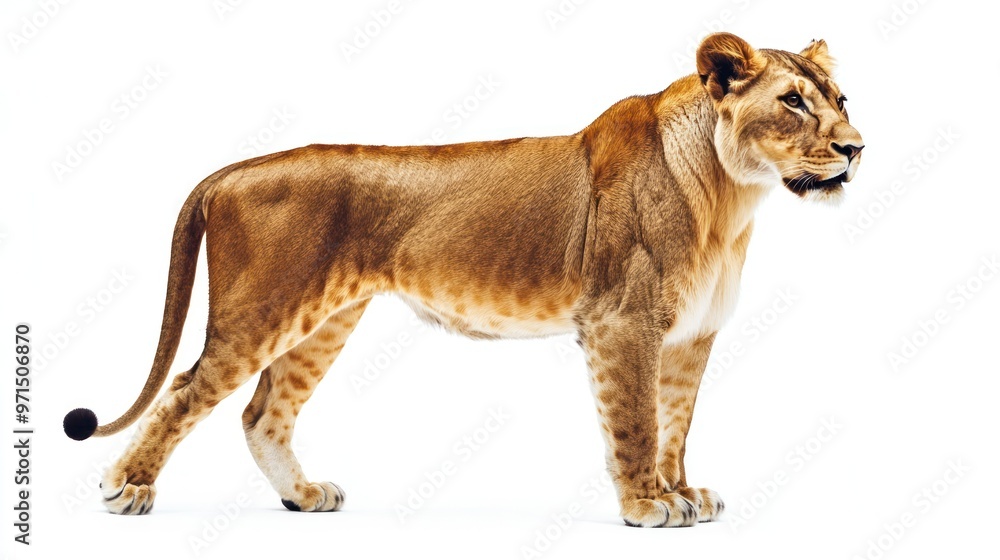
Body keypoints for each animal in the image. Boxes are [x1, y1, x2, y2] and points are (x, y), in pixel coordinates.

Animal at [63, 32, 863, 527]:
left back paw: (304, 496)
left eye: (841, 99)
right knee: (185, 391)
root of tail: (233, 169)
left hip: (325, 322)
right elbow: (635, 422)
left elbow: (675, 423)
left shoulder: (691, 335)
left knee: (262, 414)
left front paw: (680, 491)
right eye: (792, 101)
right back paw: (126, 489)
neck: (731, 199)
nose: (857, 148)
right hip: (262, 309)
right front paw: (647, 506)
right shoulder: (622, 323)